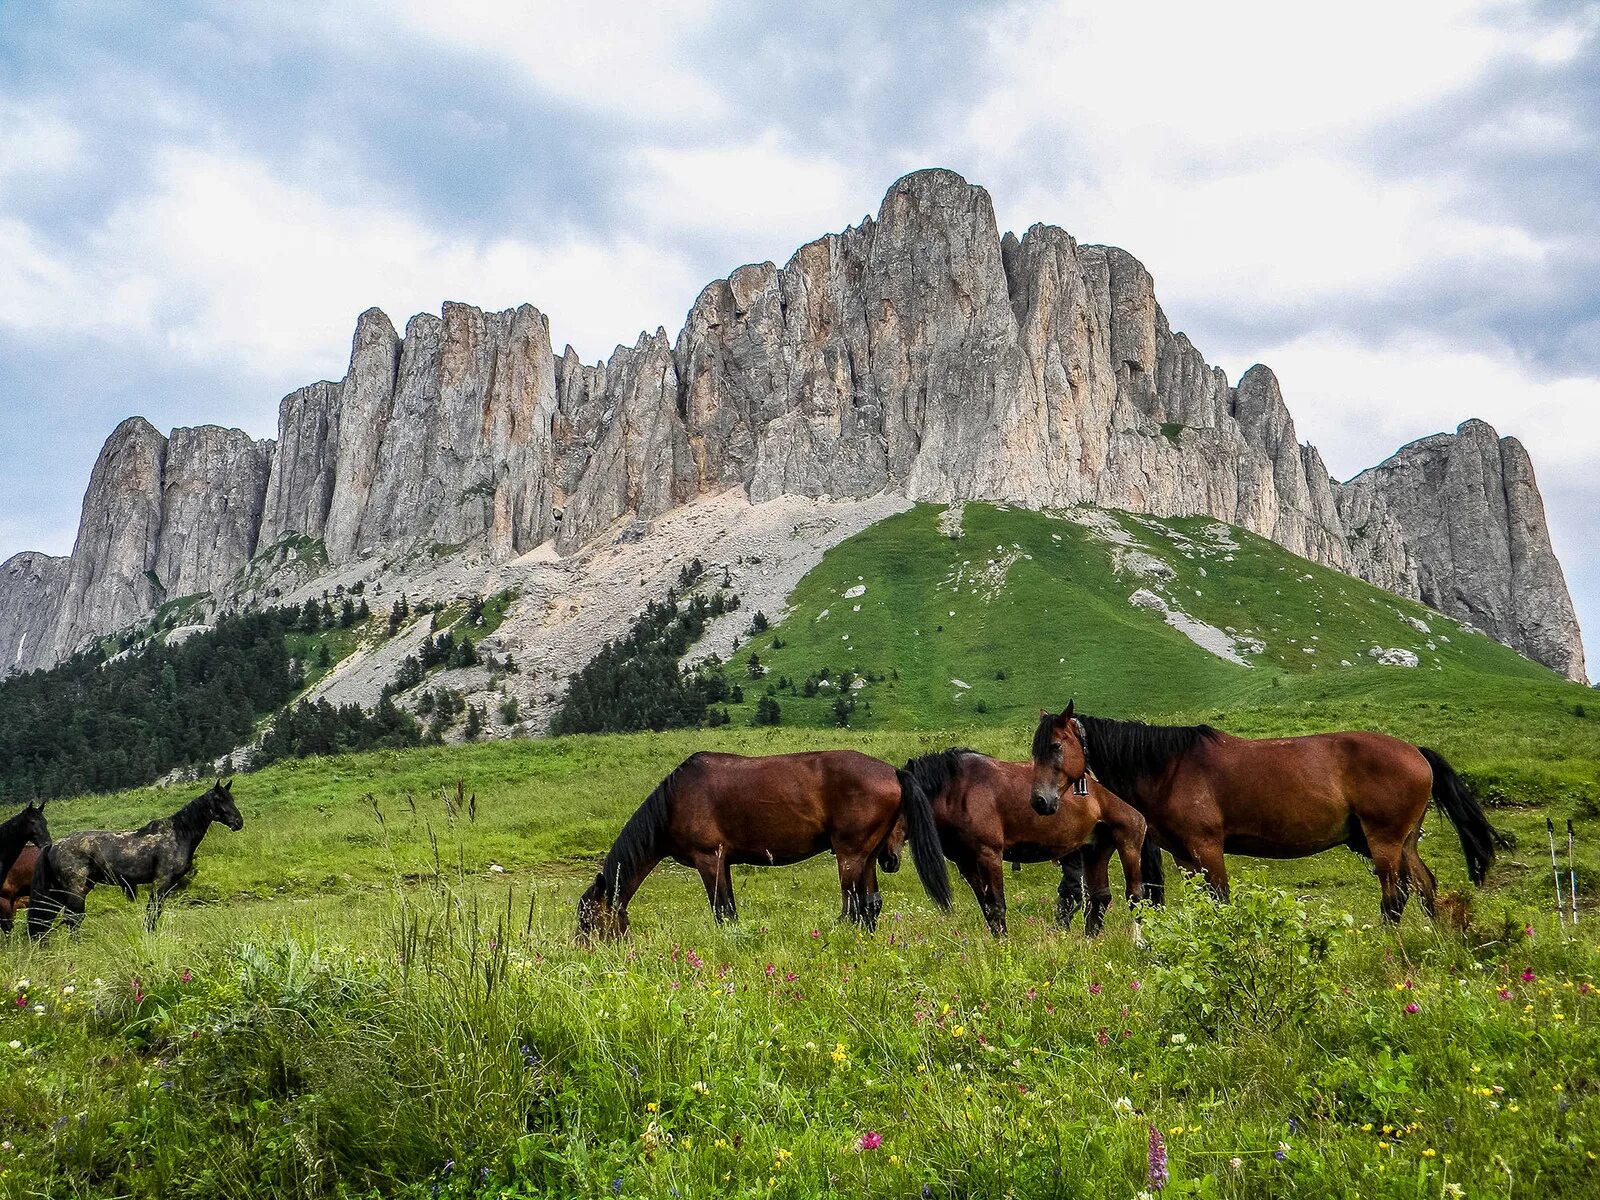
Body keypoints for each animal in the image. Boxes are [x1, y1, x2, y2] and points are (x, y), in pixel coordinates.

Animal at [29, 780, 243, 940]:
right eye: (219, 799)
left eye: (231, 798)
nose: (238, 822)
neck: (178, 834)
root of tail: (53, 846)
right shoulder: (160, 882)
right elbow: (152, 912)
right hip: (75, 890)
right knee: (72, 919)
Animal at [576, 752, 947, 940]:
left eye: (589, 923)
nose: (588, 955)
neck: (674, 801)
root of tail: (894, 772)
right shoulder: (722, 863)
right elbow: (729, 910)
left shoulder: (709, 860)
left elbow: (722, 911)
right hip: (867, 856)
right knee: (870, 905)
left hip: (851, 855)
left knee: (853, 907)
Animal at [1024, 704, 1510, 921]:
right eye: (1035, 749)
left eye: (1055, 746)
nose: (1040, 802)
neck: (1169, 767)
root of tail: (1417, 753)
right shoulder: (1185, 857)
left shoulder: (1208, 849)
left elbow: (1222, 902)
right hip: (1404, 842)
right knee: (1426, 888)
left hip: (1384, 842)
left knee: (1395, 899)